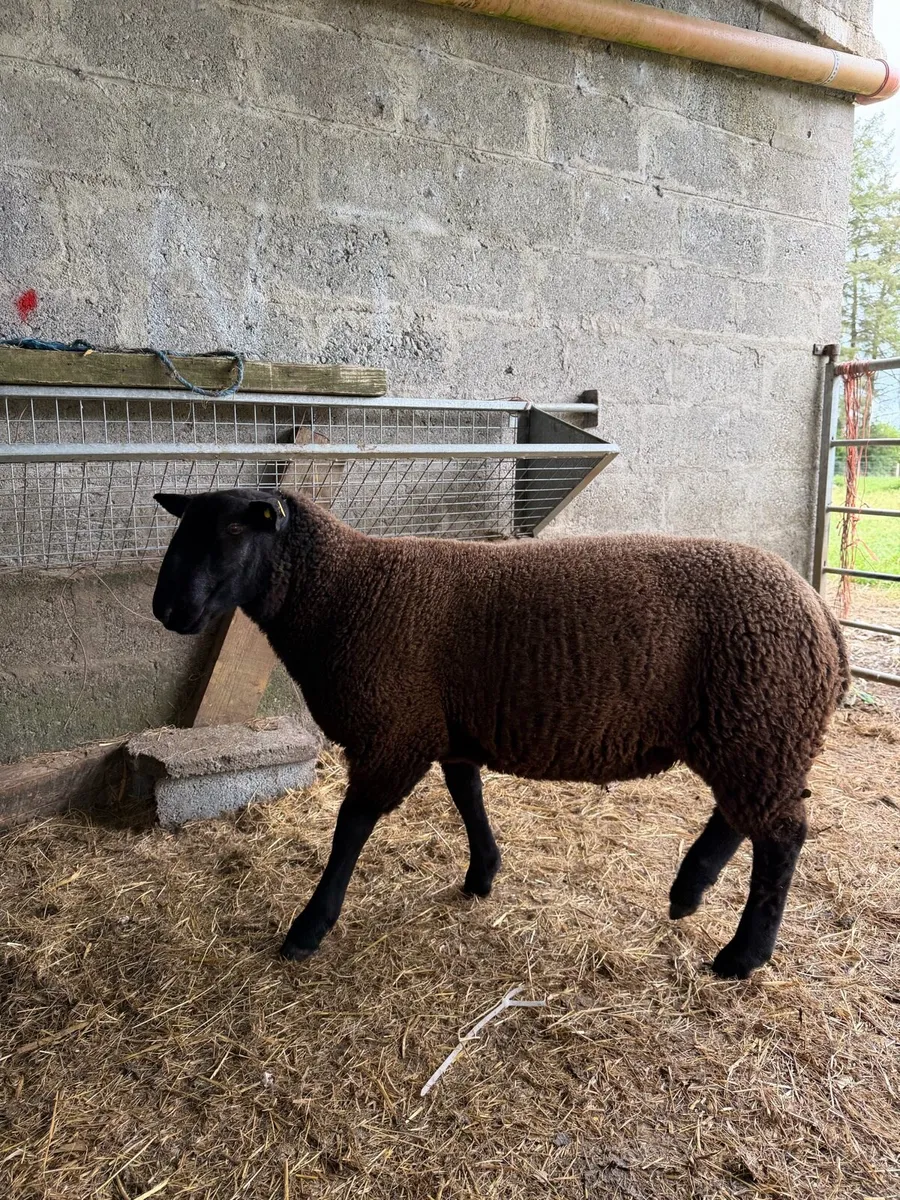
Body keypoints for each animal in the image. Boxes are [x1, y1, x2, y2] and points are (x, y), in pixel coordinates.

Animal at [152, 487, 849, 979]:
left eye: (235, 529)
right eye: (182, 529)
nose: (166, 609)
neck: (344, 591)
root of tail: (817, 609)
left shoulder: (392, 731)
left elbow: (350, 829)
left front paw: (310, 926)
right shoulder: (444, 727)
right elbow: (467, 797)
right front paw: (482, 873)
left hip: (757, 723)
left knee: (780, 835)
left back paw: (742, 955)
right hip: (750, 732)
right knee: (743, 817)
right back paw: (689, 891)